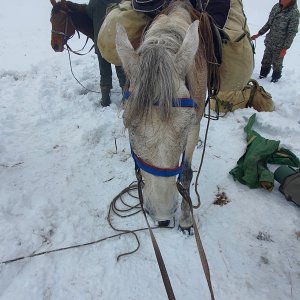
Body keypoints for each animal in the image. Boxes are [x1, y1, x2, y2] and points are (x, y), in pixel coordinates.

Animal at [115, 0, 216, 230]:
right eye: (129, 125)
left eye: (186, 125)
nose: (162, 215)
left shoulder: (195, 124)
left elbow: (186, 172)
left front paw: (186, 221)